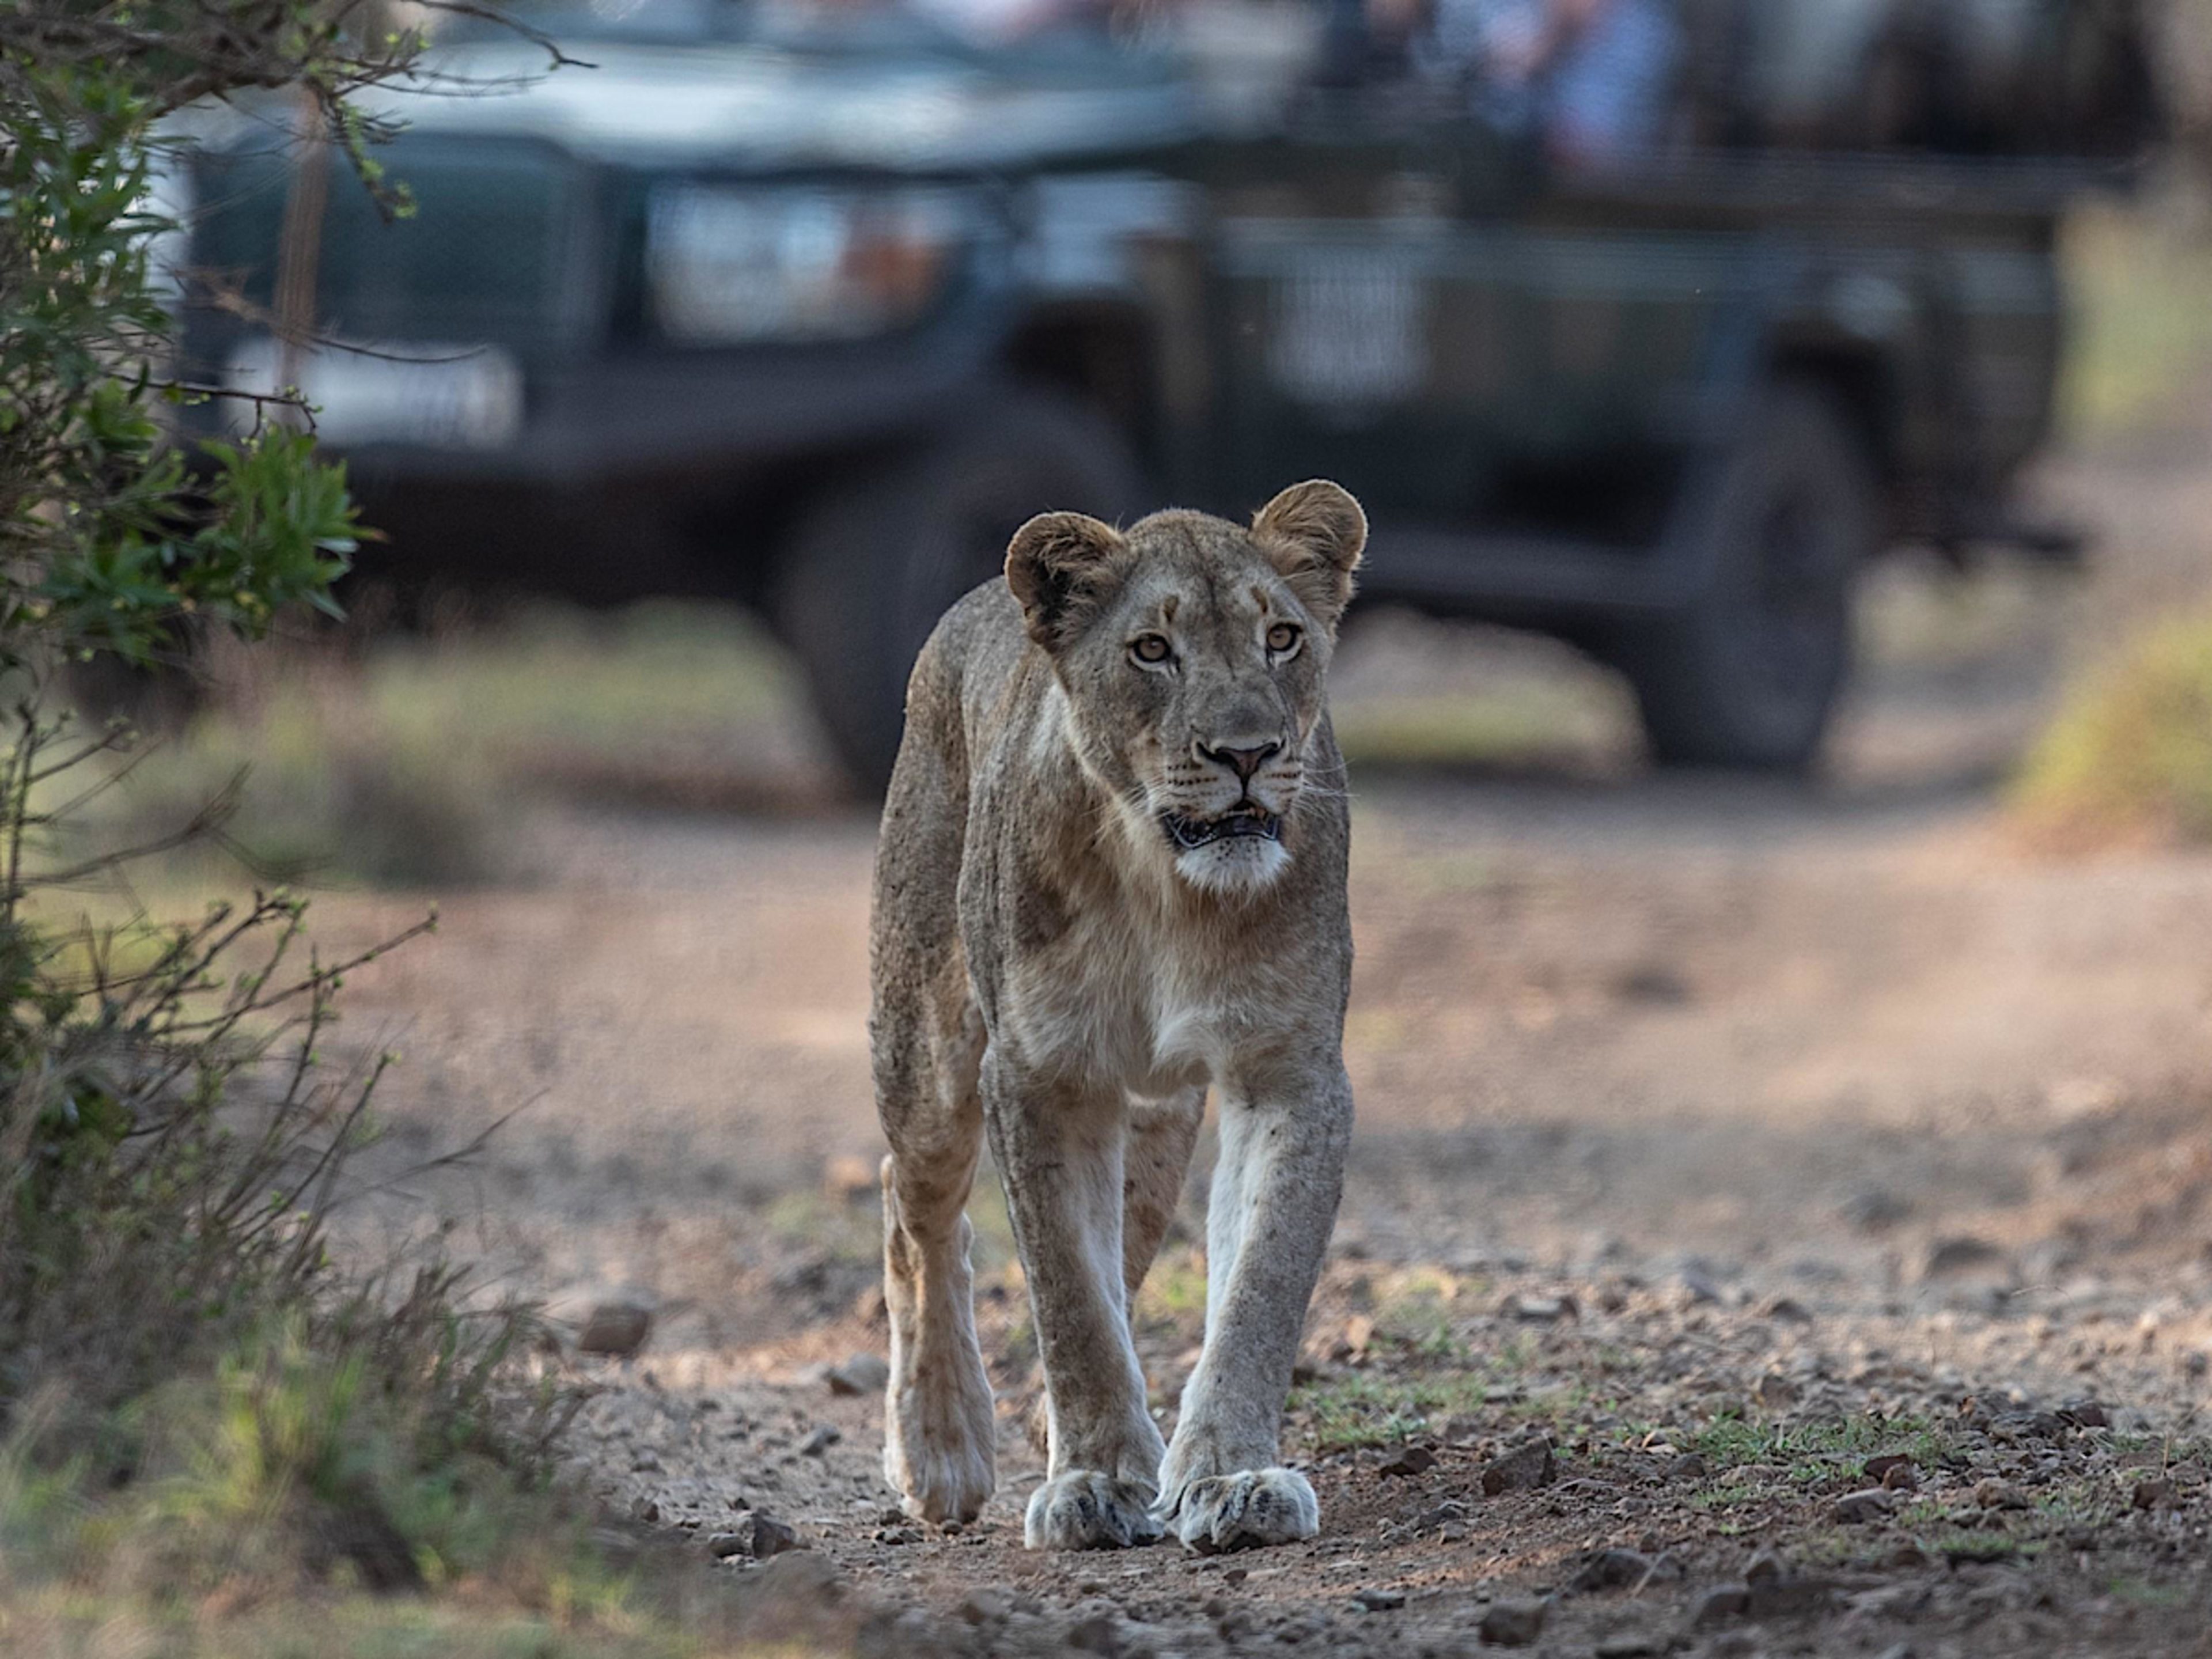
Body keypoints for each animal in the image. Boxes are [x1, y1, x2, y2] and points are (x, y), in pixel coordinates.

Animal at [869, 479, 1364, 1552]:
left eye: (1282, 638)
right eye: (1151, 650)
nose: (1248, 753)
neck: (1167, 887)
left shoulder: (1289, 1067)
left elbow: (1259, 1283)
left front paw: (1231, 1475)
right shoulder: (1037, 1076)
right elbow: (1067, 1294)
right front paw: (1093, 1482)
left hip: (1154, 1119)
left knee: (1126, 1254)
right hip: (926, 1047)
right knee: (914, 1206)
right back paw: (940, 1448)